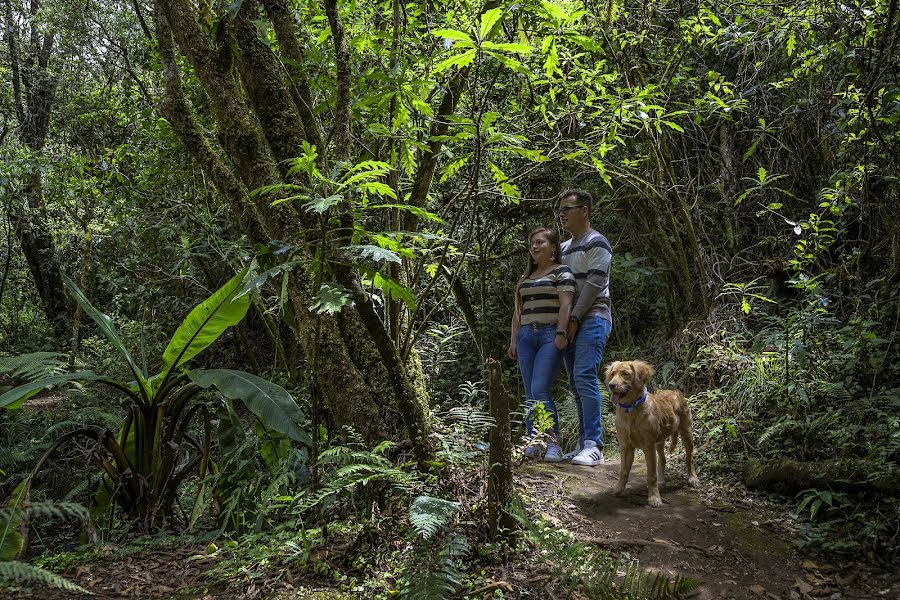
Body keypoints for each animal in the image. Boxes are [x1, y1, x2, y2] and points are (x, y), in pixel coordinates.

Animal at [608, 360, 700, 506]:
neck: (631, 410)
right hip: (660, 440)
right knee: (663, 459)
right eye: (612, 374)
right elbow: (623, 471)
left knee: (689, 458)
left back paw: (693, 479)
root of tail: (676, 391)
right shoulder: (626, 446)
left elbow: (651, 475)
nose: (611, 385)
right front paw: (619, 489)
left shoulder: (648, 446)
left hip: (687, 433)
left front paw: (654, 498)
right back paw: (662, 482)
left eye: (625, 374)